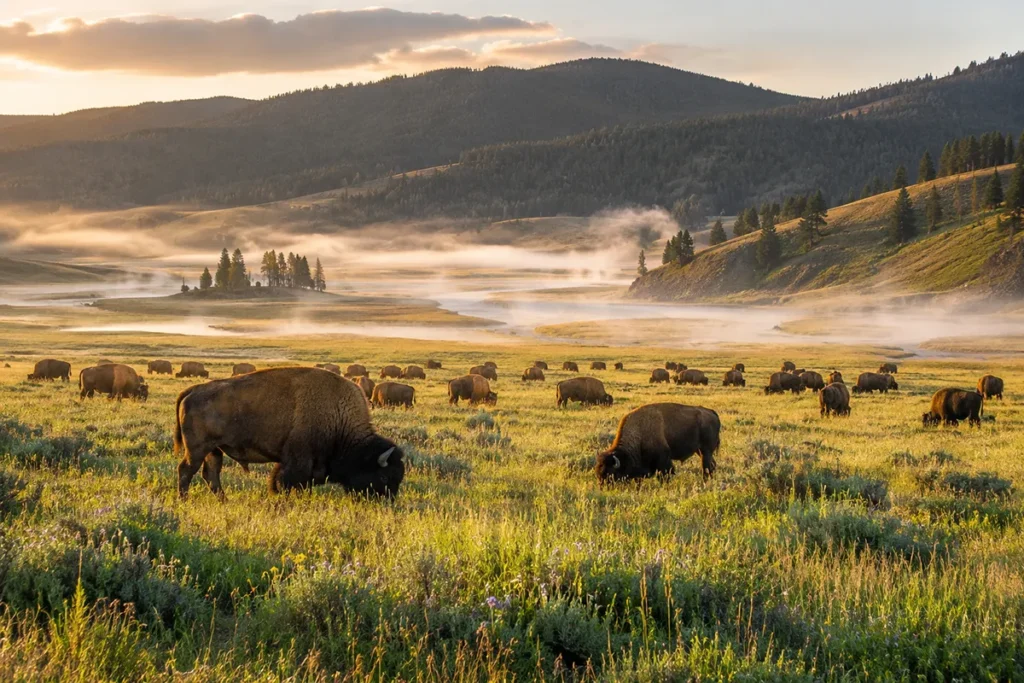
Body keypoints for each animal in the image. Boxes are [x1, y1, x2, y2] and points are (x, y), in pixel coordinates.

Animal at [174, 367, 404, 499]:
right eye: (384, 477)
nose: (386, 501)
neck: (338, 418)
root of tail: (193, 390)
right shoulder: (298, 461)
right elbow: (287, 482)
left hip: (214, 450)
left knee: (211, 474)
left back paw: (223, 501)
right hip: (197, 449)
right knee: (186, 470)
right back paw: (184, 499)